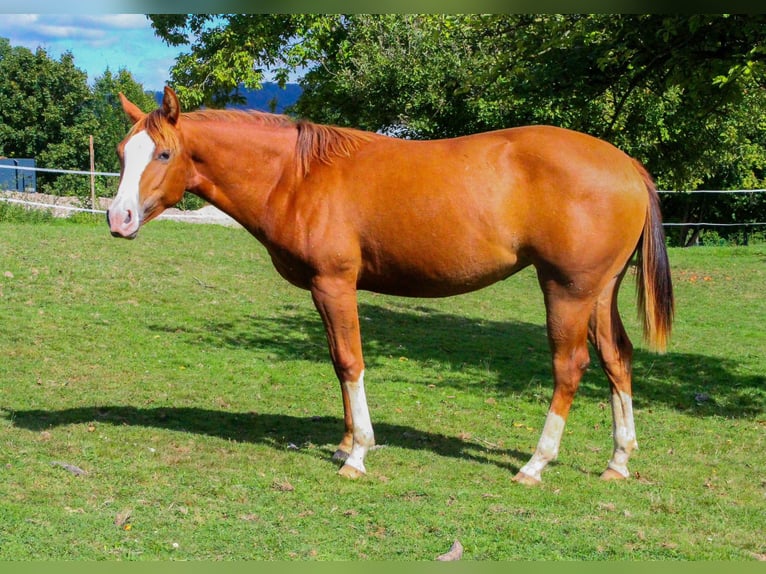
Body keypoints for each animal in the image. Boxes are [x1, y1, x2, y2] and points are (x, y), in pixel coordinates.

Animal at [106, 86, 672, 486]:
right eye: (122, 152)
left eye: (162, 155)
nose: (118, 218)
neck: (297, 175)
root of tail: (626, 164)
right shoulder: (323, 290)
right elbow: (337, 361)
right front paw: (345, 442)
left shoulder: (334, 284)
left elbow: (350, 361)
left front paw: (357, 454)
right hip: (599, 292)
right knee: (617, 358)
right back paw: (618, 460)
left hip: (567, 290)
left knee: (570, 367)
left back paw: (535, 463)